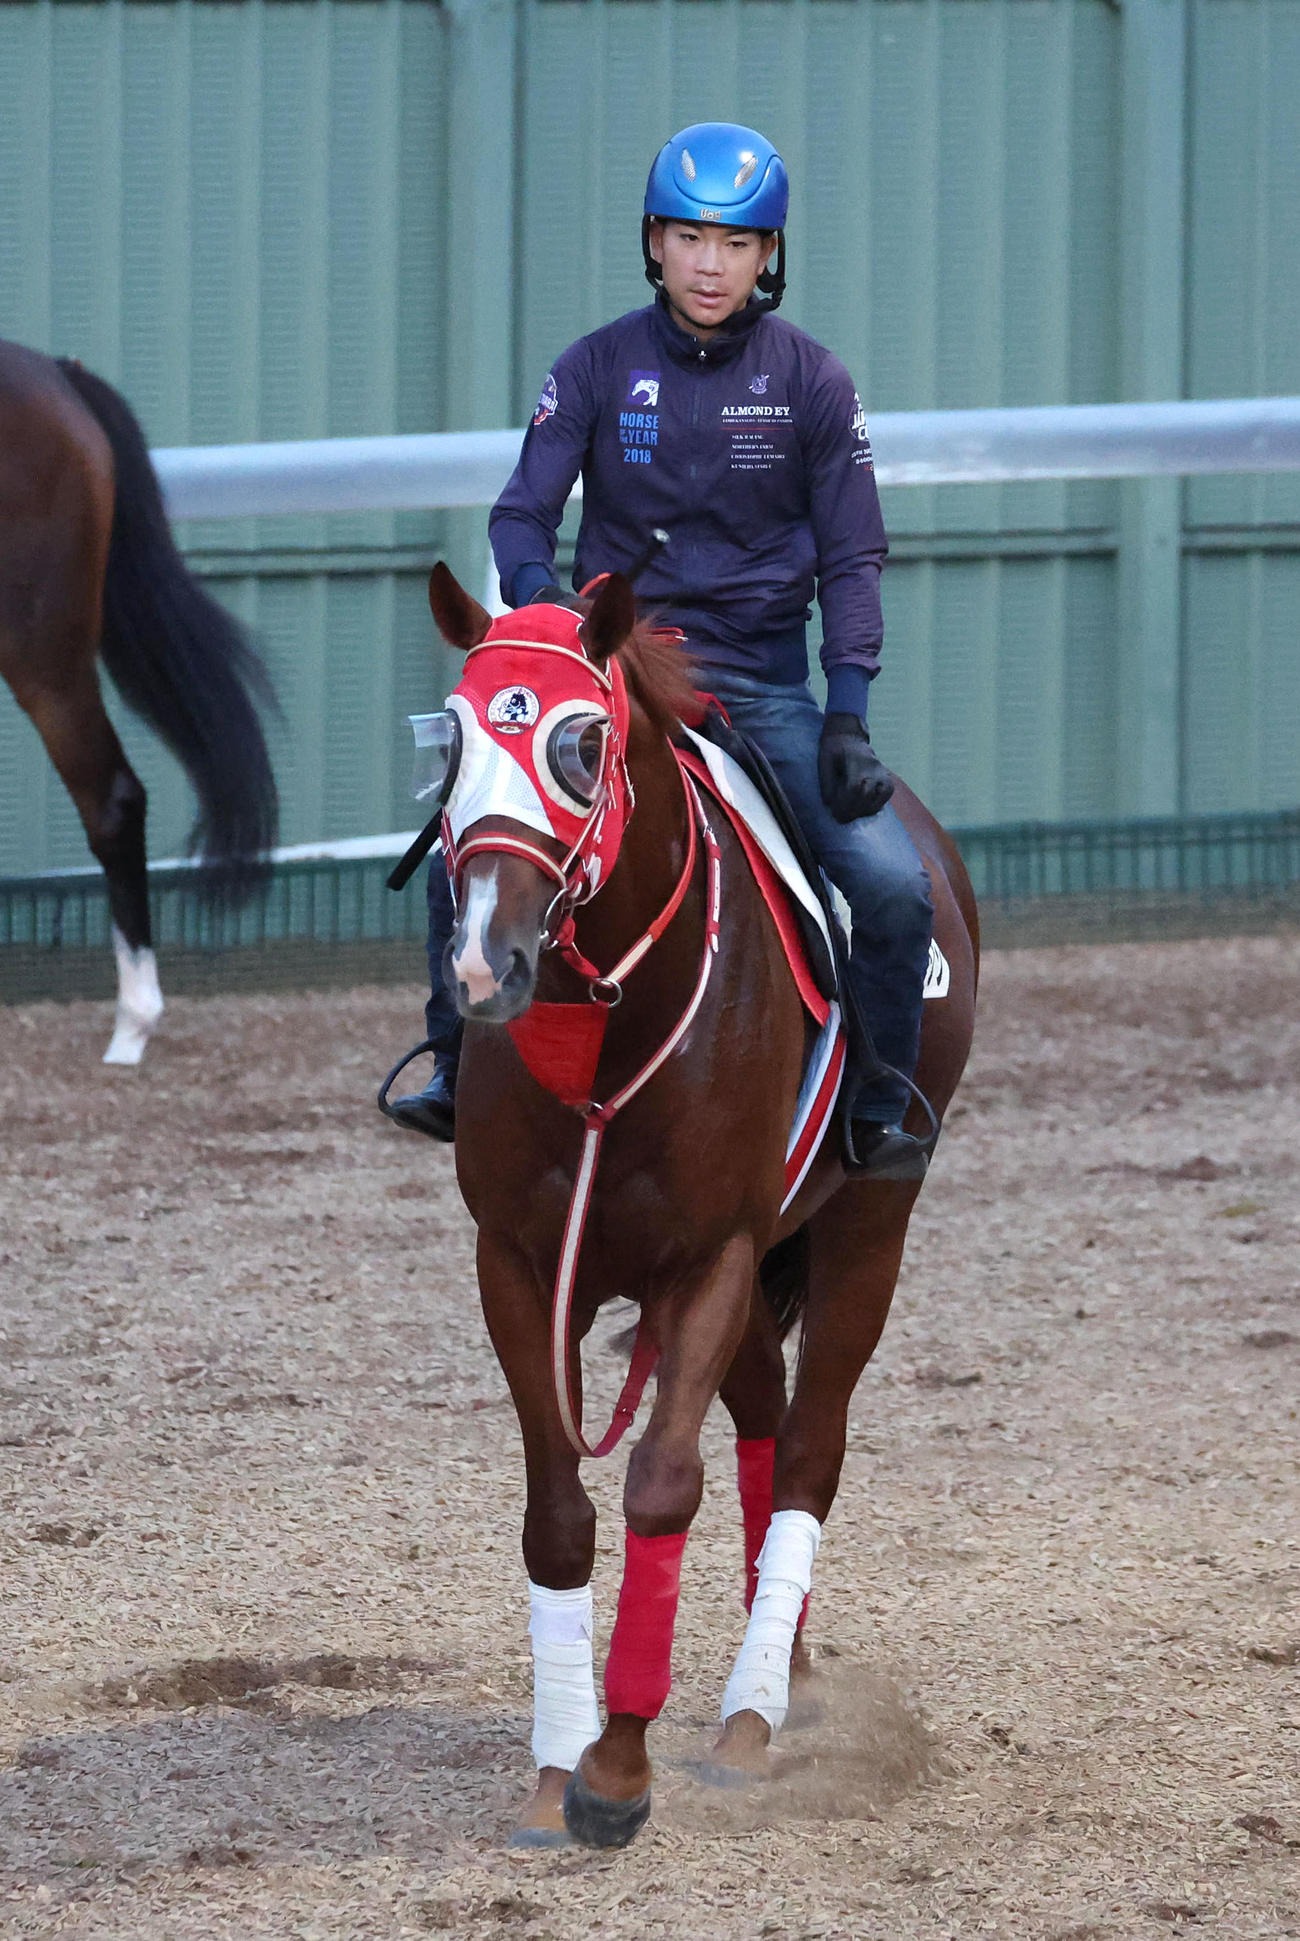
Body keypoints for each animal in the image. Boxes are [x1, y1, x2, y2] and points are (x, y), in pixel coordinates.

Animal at [417, 562, 977, 1849]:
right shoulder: (519, 1265)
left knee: (811, 1444)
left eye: (581, 743)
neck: (612, 1028)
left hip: (867, 1223)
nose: (483, 961)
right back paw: (786, 1671)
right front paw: (554, 1768)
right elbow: (558, 1513)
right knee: (766, 1422)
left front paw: (617, 1772)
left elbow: (662, 1486)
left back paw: (751, 1716)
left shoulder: (709, 1258)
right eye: (450, 740)